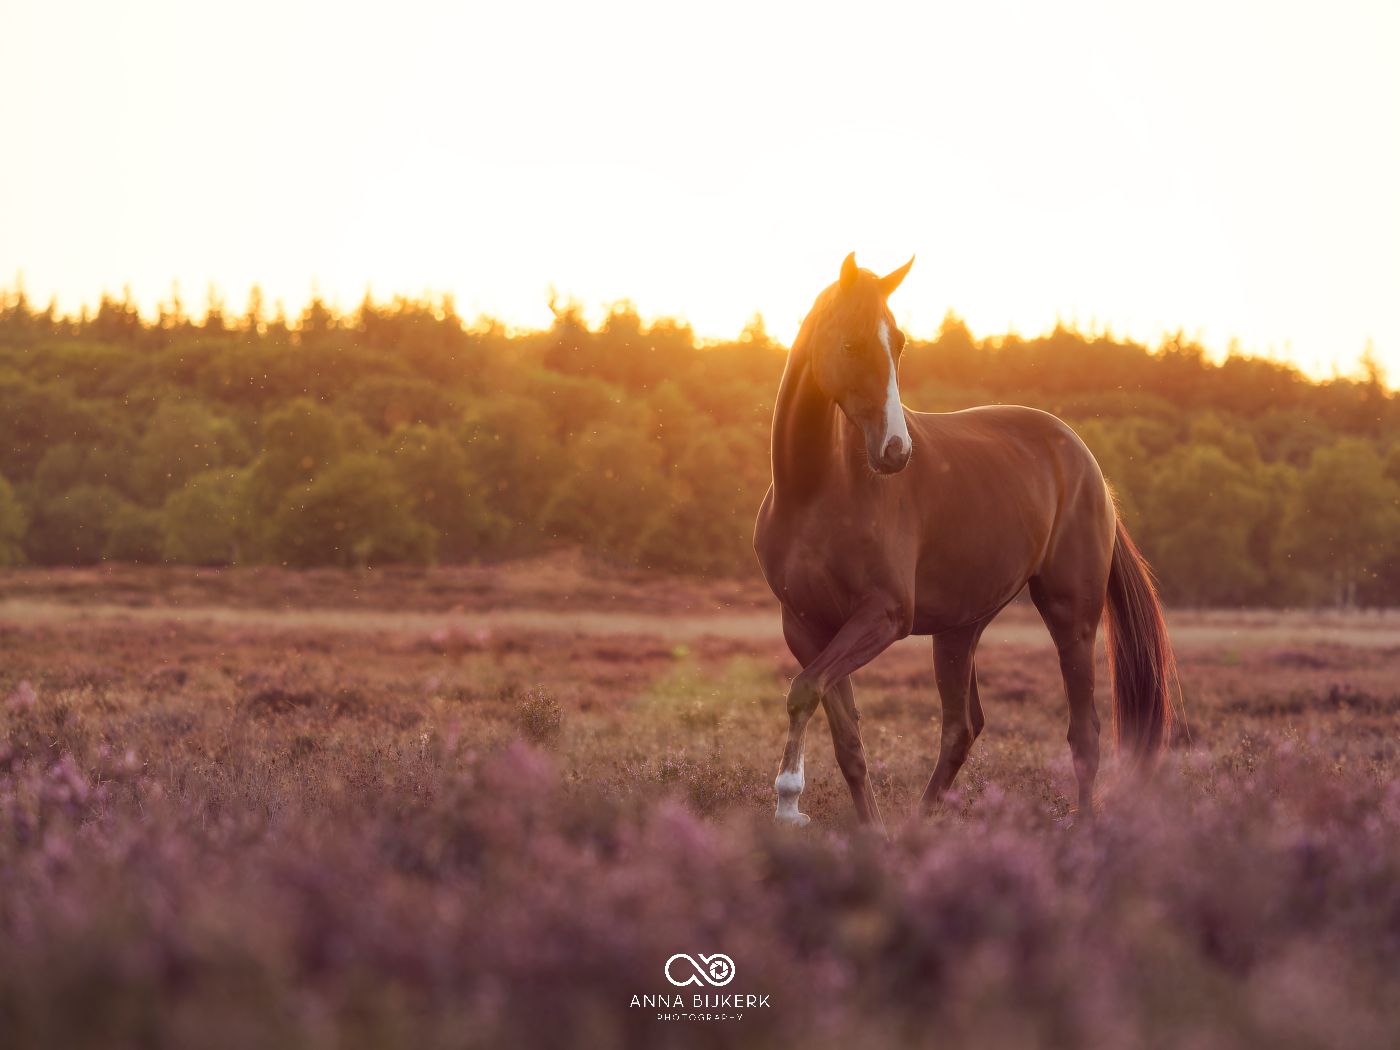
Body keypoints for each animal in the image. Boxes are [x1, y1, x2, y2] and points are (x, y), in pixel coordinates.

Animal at [753, 253, 1177, 828]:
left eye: (899, 343)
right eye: (850, 344)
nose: (895, 451)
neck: (815, 489)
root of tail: (1086, 463)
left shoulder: (884, 616)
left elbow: (803, 692)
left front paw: (789, 801)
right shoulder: (805, 625)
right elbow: (843, 734)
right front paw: (868, 832)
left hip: (1071, 615)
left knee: (1083, 733)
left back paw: (1083, 829)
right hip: (959, 629)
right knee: (962, 728)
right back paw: (918, 827)